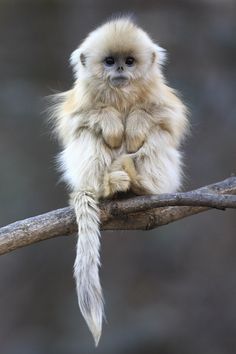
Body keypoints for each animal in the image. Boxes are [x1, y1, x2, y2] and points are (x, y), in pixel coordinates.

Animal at [49, 17, 188, 346]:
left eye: (130, 61)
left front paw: (135, 124)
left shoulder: (161, 97)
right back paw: (109, 186)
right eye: (110, 61)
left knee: (158, 135)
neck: (121, 95)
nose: (121, 70)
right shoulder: (80, 101)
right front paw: (111, 122)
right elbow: (77, 121)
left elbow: (168, 119)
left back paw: (139, 184)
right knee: (87, 134)